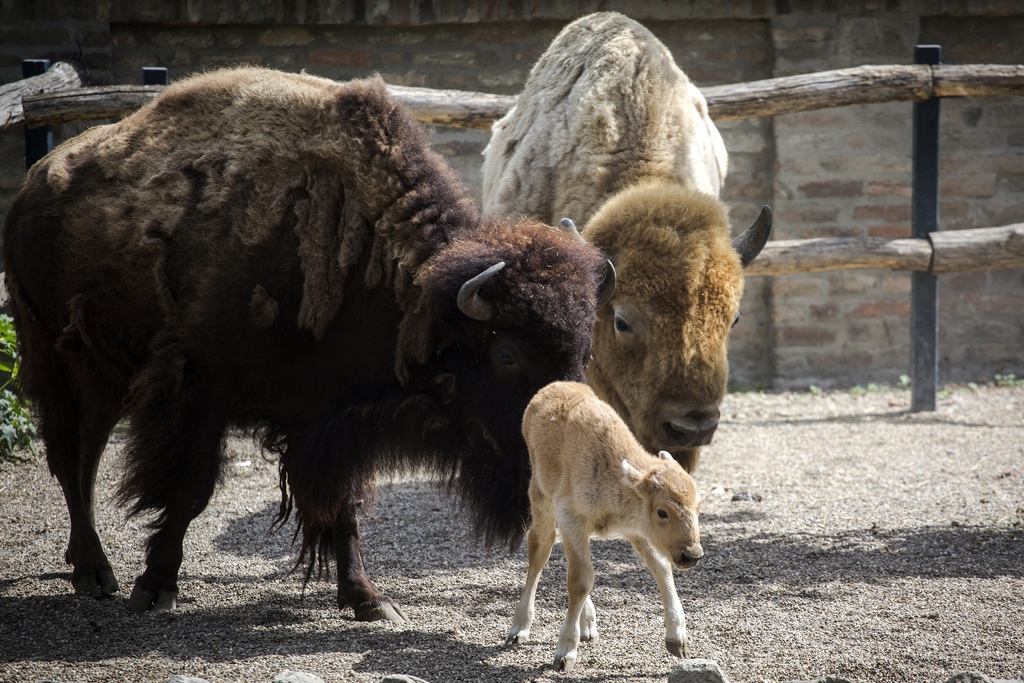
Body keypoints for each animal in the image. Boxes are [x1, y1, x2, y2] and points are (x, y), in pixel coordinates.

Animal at [4, 66, 610, 622]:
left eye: (584, 350)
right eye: (508, 355)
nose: (562, 457)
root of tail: (33, 184)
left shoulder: (328, 419)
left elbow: (344, 505)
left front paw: (368, 599)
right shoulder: (200, 388)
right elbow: (190, 491)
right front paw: (154, 589)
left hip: (104, 378)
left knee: (85, 455)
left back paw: (89, 567)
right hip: (56, 359)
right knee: (68, 453)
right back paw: (95, 573)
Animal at [512, 382, 704, 675]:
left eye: (698, 507)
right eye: (662, 511)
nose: (691, 554)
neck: (616, 474)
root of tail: (547, 390)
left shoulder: (636, 531)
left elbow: (660, 568)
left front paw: (677, 640)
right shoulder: (571, 518)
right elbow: (580, 580)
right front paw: (564, 654)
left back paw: (587, 626)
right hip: (542, 501)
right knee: (540, 552)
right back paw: (519, 629)